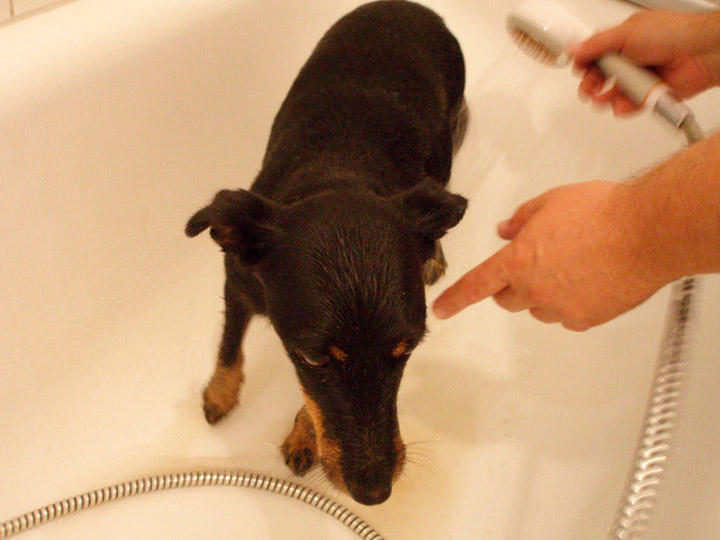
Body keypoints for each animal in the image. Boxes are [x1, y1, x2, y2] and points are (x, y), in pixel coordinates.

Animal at [185, 0, 467, 505]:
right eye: (317, 359)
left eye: (405, 351)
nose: (375, 494)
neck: (340, 175)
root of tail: (413, 6)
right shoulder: (238, 282)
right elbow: (230, 344)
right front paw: (220, 393)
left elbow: (310, 400)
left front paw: (303, 435)